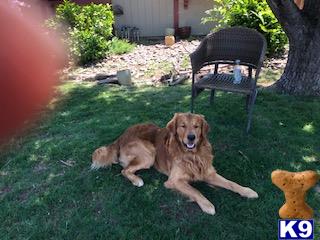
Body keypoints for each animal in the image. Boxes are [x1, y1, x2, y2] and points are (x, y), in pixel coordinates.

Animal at [92, 113, 258, 216]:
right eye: (182, 126)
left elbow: (231, 183)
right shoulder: (174, 180)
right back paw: (137, 180)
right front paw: (207, 205)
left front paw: (247, 191)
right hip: (149, 153)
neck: (192, 155)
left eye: (196, 126)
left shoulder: (208, 173)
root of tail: (121, 136)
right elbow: (195, 191)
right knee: (124, 170)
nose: (191, 137)